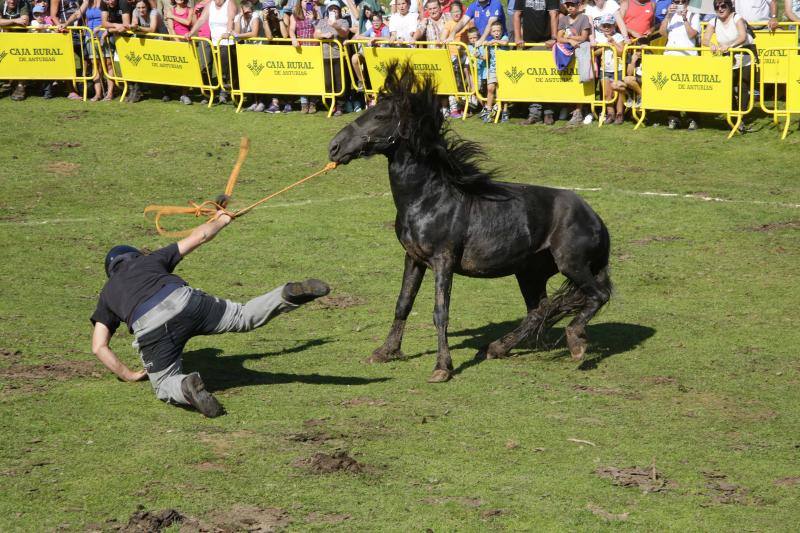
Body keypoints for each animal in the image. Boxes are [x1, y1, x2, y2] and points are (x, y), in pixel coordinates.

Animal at [328, 61, 608, 382]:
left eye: (381, 116)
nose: (334, 147)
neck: (429, 198)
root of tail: (597, 220)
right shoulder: (414, 259)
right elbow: (403, 304)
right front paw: (385, 352)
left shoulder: (443, 260)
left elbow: (440, 312)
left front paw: (442, 368)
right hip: (529, 273)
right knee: (540, 310)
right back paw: (496, 348)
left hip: (571, 265)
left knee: (596, 296)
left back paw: (576, 342)